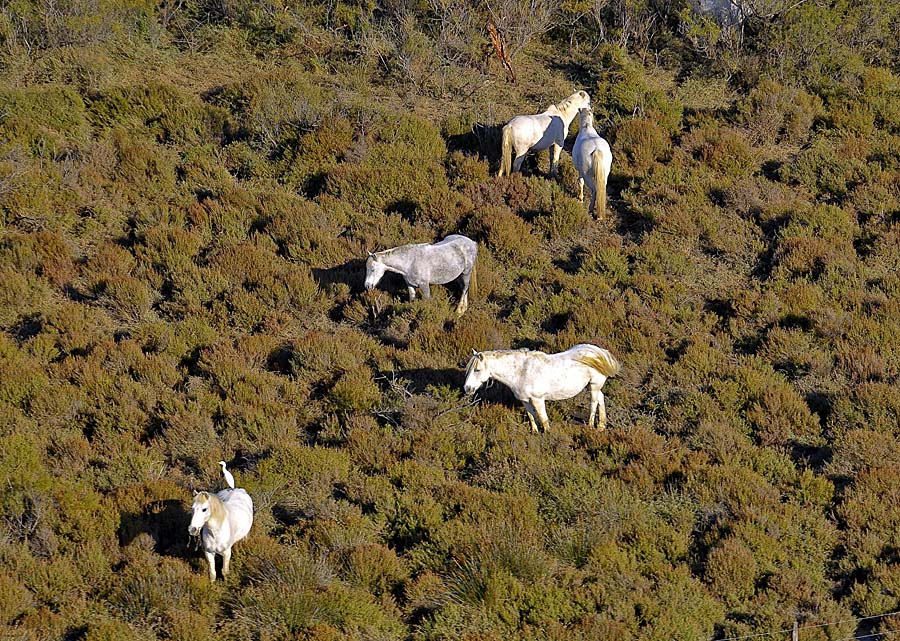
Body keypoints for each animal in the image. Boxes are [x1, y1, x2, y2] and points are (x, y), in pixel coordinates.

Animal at [464, 342, 620, 432]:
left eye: (477, 370)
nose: (467, 388)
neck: (522, 371)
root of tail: (601, 352)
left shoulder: (538, 400)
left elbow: (543, 419)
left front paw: (547, 434)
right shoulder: (525, 400)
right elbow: (532, 417)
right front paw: (535, 432)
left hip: (594, 385)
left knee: (593, 403)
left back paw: (590, 426)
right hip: (593, 386)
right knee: (601, 398)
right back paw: (601, 426)